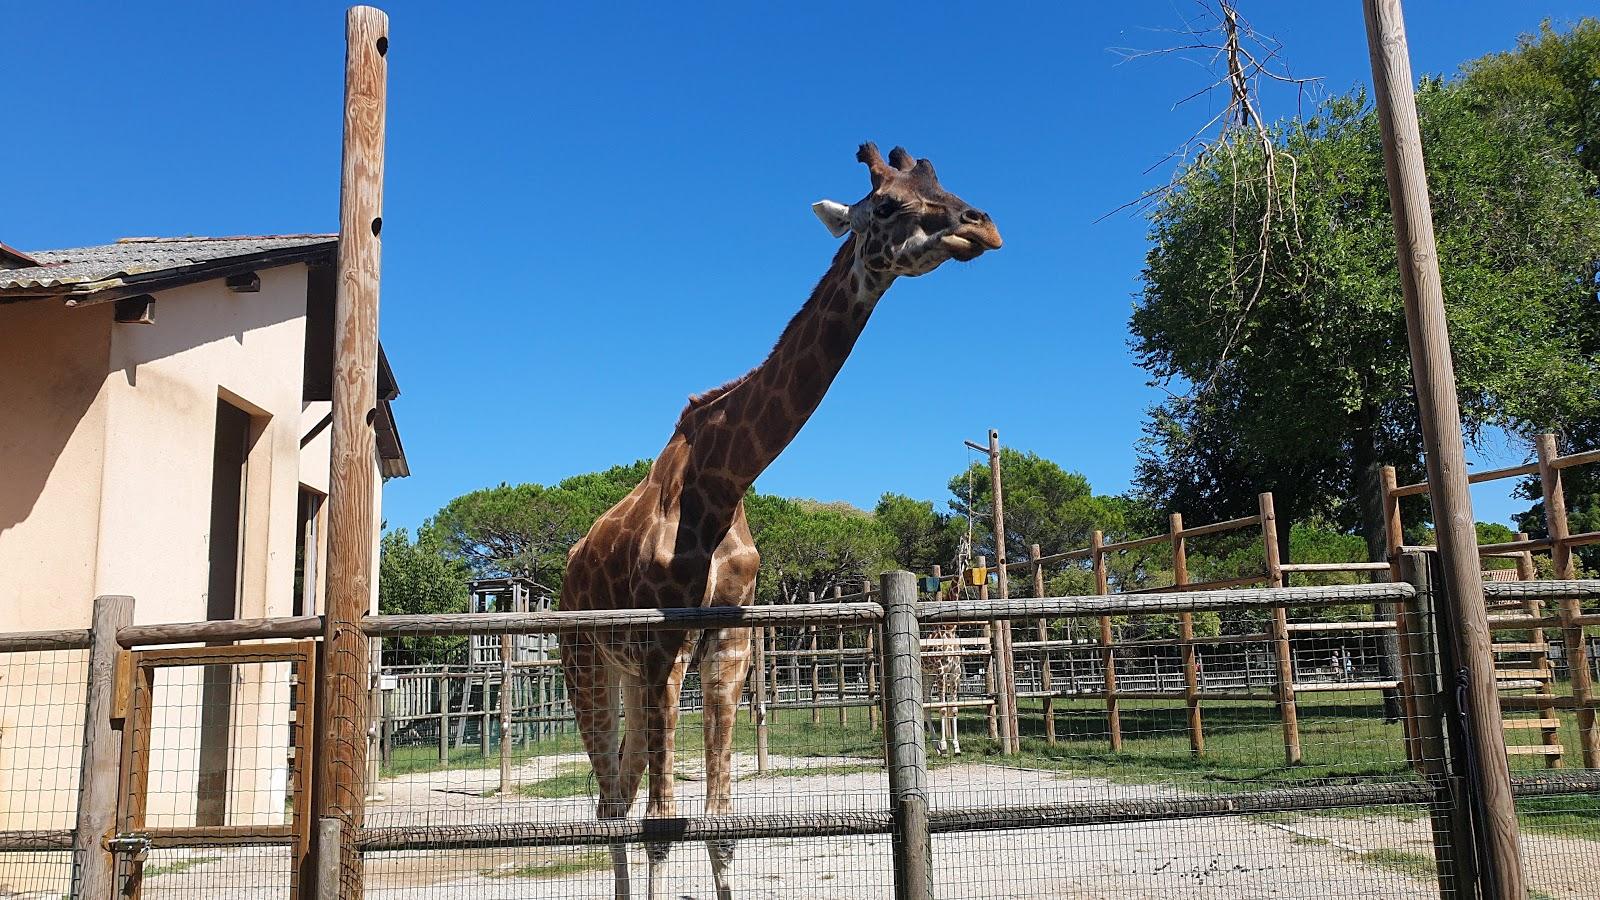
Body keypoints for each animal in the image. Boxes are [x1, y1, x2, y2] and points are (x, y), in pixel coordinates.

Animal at [560, 143, 998, 890]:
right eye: (888, 204)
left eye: (942, 180)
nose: (983, 226)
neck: (721, 480)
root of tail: (568, 568)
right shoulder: (664, 643)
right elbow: (662, 828)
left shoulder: (728, 644)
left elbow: (721, 823)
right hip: (587, 661)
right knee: (613, 804)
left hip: (629, 674)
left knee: (617, 791)